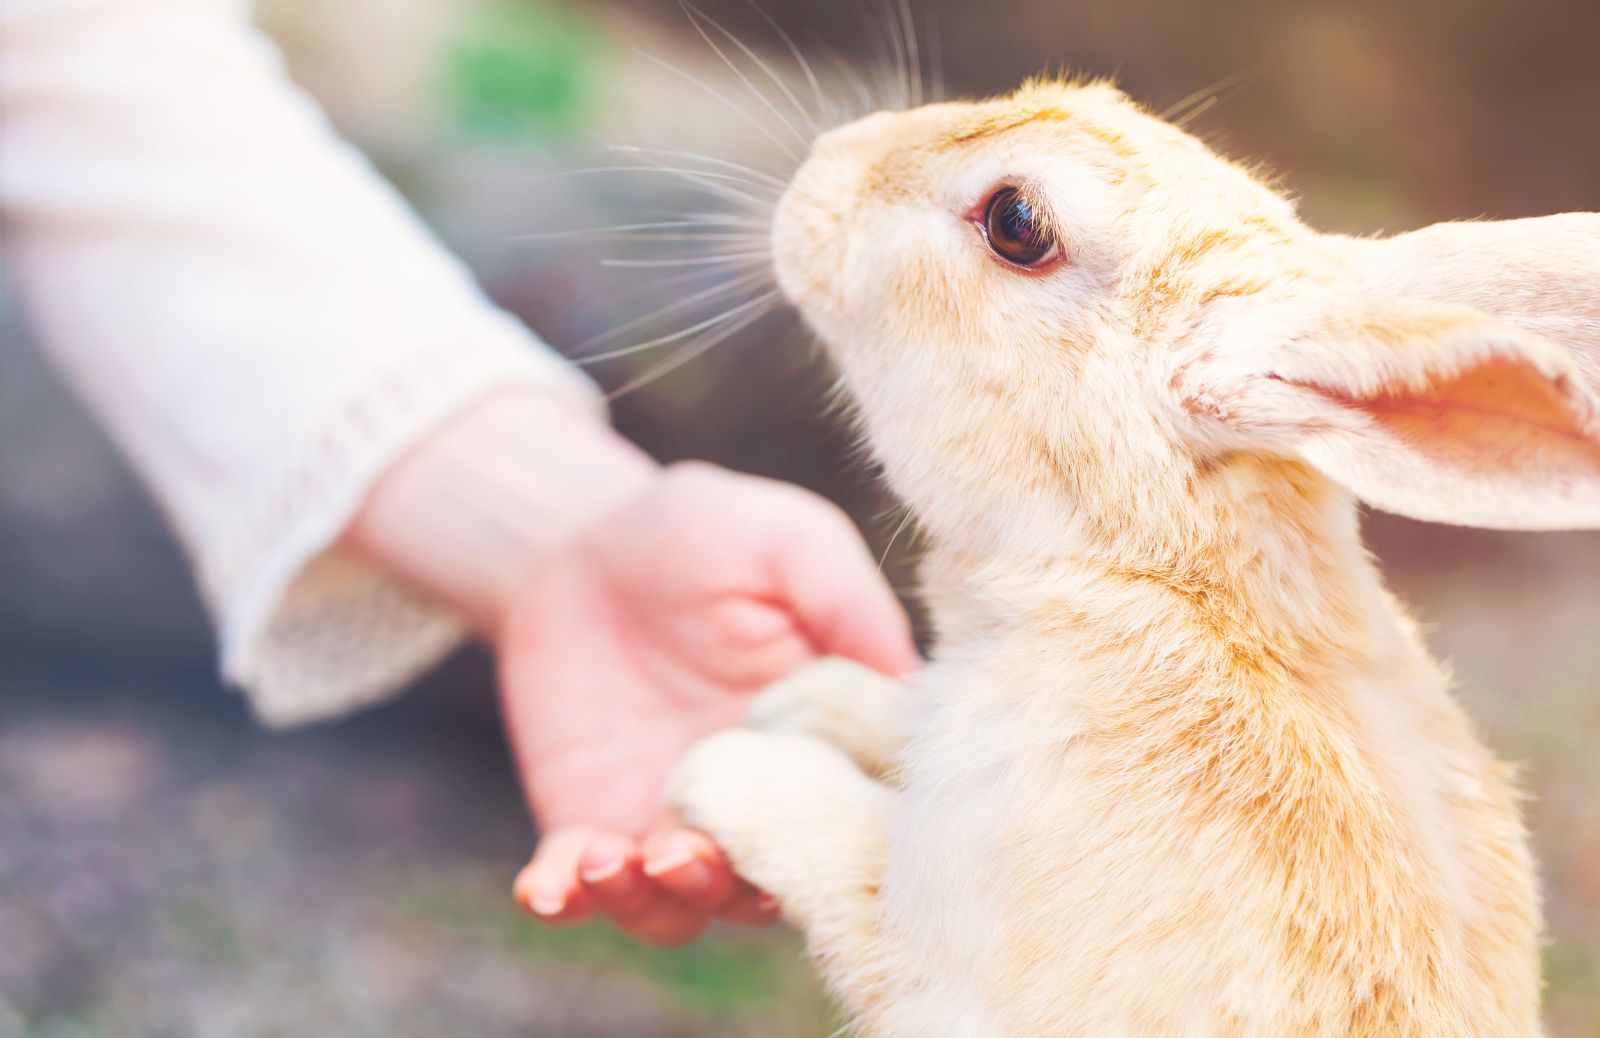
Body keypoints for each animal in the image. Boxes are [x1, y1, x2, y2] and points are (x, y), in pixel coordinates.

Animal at [662, 74, 1600, 1036]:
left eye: (1017, 222)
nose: (830, 162)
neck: (1166, 583)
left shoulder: (934, 965)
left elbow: (843, 862)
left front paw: (735, 766)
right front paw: (810, 702)